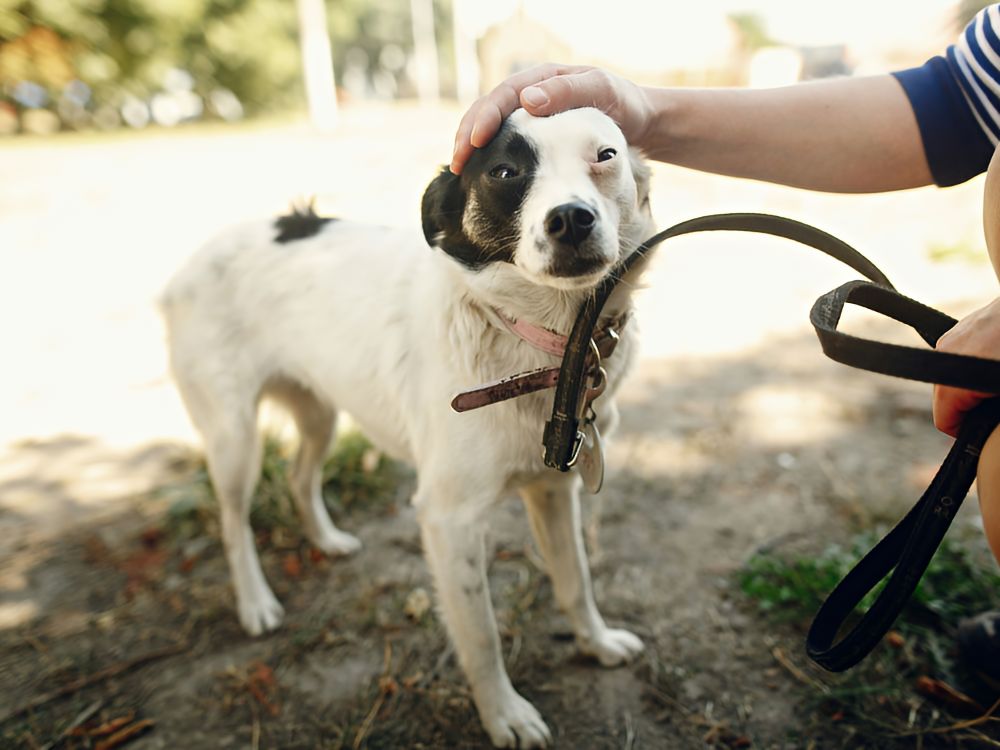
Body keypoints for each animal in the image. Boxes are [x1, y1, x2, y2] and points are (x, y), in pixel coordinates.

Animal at [165, 108, 656, 748]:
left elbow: (576, 581)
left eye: (605, 156)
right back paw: (255, 602)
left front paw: (595, 644)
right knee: (231, 521)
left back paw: (327, 540)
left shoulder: (552, 487)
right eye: (503, 171)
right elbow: (481, 635)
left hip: (320, 408)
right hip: (234, 438)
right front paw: (504, 715)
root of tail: (194, 257)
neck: (542, 343)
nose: (572, 218)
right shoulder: (449, 520)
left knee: (299, 477)